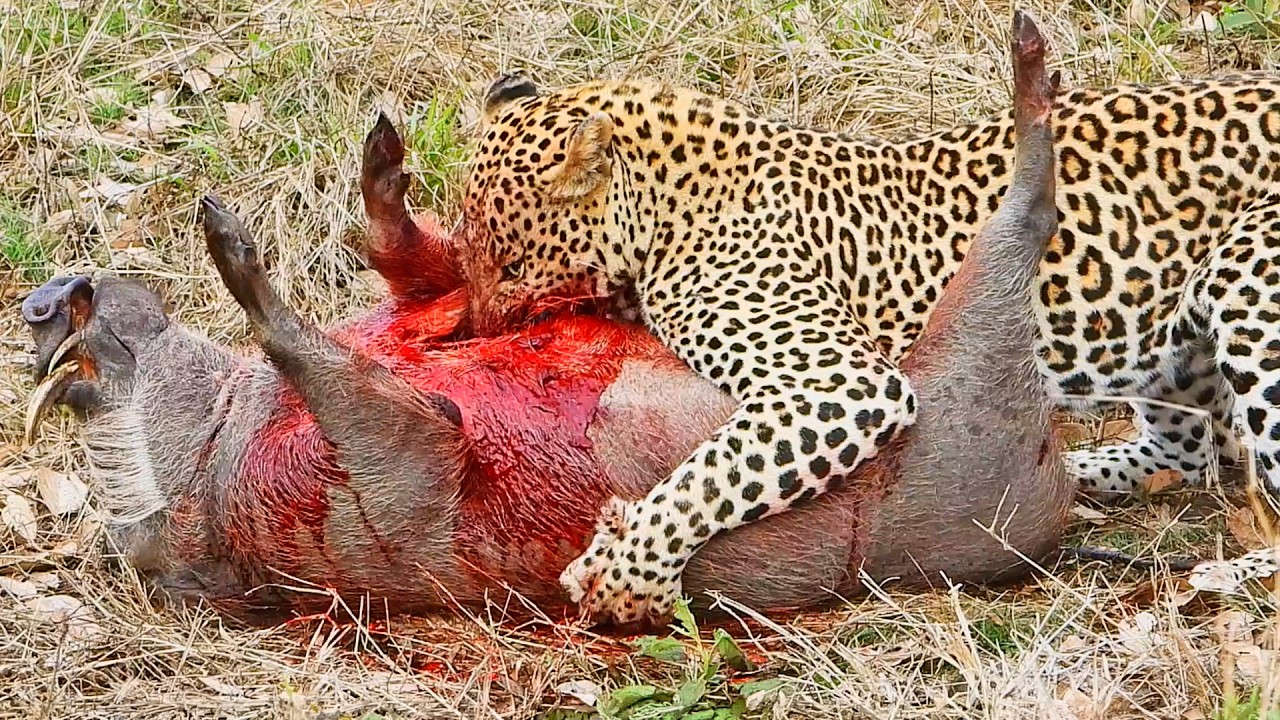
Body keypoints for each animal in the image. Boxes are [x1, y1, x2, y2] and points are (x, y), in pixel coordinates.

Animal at [451, 45, 1280, 625]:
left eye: (511, 262)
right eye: (470, 251)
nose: (479, 330)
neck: (670, 201)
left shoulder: (846, 385)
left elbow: (710, 474)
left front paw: (628, 571)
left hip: (1250, 286)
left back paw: (1225, 576)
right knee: (1191, 451)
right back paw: (1085, 473)